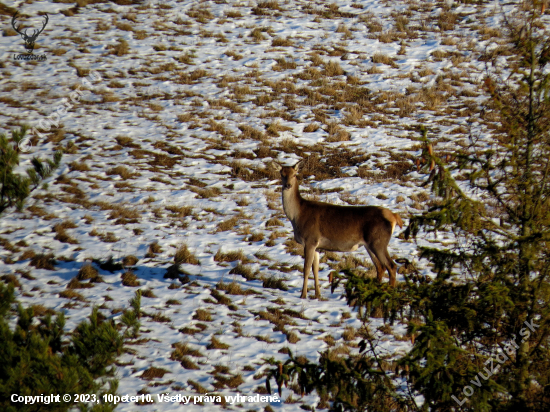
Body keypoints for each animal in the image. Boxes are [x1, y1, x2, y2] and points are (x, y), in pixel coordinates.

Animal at [272, 160, 406, 300]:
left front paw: (303, 295)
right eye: (282, 174)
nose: (288, 185)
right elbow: (315, 269)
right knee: (380, 267)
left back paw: (389, 294)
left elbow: (306, 268)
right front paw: (318, 294)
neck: (297, 216)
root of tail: (393, 216)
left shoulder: (310, 240)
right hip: (370, 244)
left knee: (391, 266)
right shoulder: (317, 246)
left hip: (379, 241)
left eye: (294, 174)